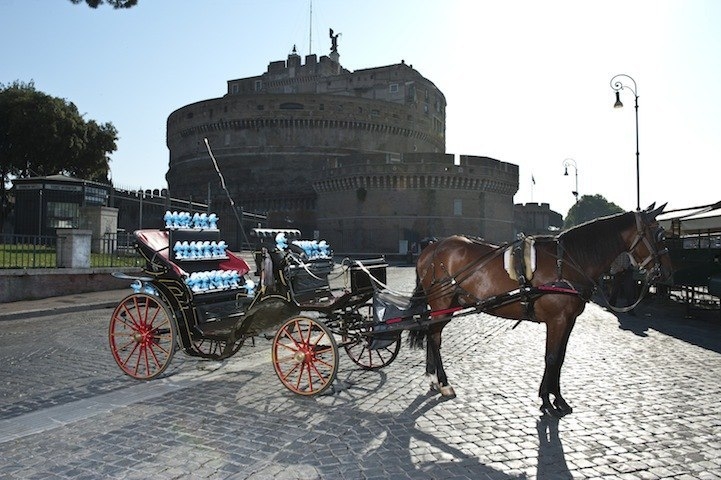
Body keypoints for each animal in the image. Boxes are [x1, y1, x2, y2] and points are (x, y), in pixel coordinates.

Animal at [410, 202, 676, 416]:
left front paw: (557, 398)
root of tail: (432, 247)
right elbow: (551, 357)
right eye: (659, 234)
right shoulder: (556, 320)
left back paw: (433, 377)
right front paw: (548, 401)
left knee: (432, 333)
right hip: (442, 303)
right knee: (435, 337)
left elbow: (560, 357)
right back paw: (443, 381)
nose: (668, 272)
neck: (568, 262)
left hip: (450, 304)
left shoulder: (568, 320)